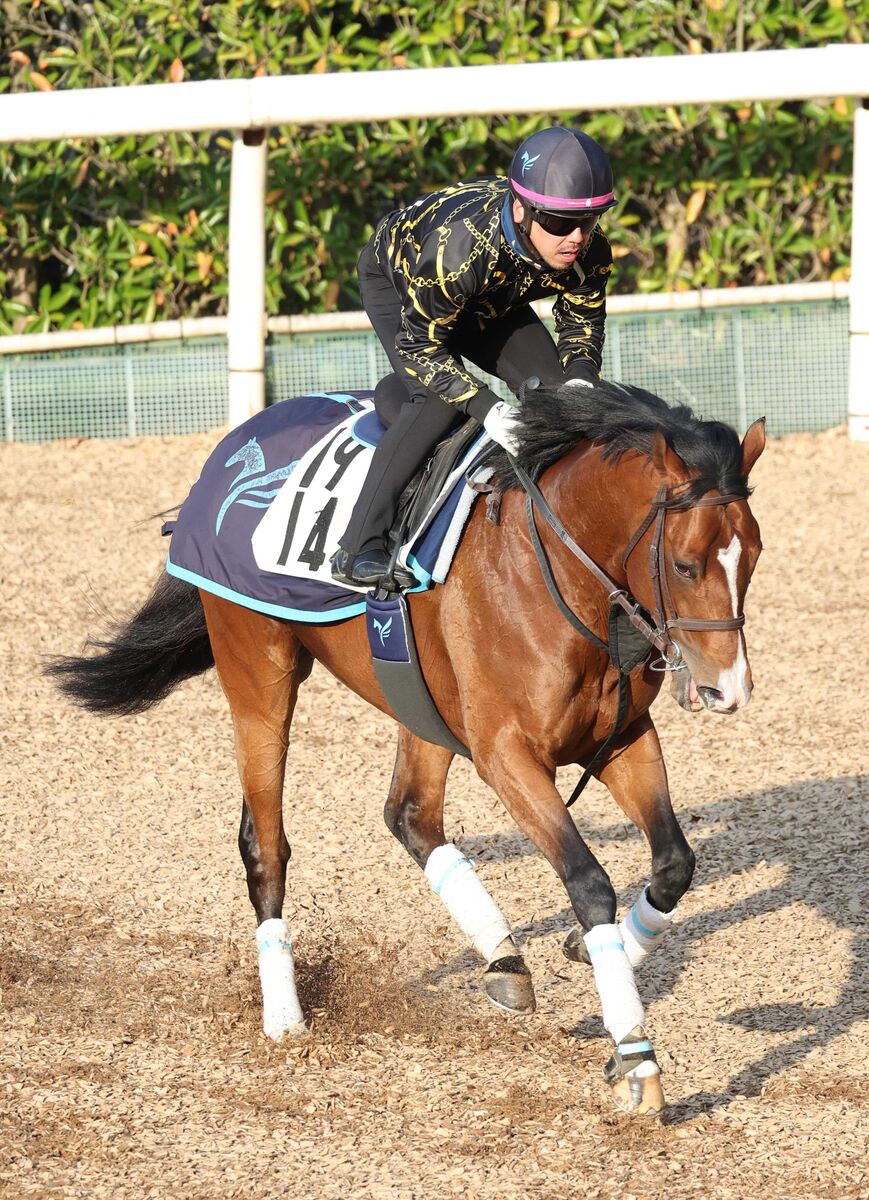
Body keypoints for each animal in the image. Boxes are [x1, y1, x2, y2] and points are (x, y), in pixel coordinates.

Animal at [49, 381, 768, 1113]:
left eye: (754, 554)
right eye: (684, 565)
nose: (726, 689)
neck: (561, 572)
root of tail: (234, 444)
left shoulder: (620, 736)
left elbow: (674, 863)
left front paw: (596, 951)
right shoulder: (505, 754)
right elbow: (588, 881)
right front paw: (635, 1058)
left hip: (415, 698)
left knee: (410, 814)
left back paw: (503, 956)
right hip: (259, 669)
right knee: (266, 842)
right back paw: (284, 1017)